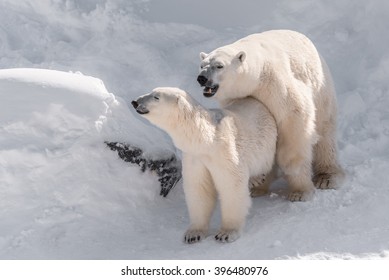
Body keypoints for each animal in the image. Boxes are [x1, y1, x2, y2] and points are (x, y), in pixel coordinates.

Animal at [132, 87, 278, 243]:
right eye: (151, 92)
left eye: (156, 97)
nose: (135, 102)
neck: (207, 140)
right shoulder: (195, 158)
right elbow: (199, 189)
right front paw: (193, 234)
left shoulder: (224, 153)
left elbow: (231, 186)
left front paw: (226, 233)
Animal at [197, 29, 342, 201]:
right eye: (201, 65)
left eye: (219, 66)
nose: (202, 78)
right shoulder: (237, 97)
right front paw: (256, 179)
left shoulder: (275, 83)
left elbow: (294, 116)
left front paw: (300, 191)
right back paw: (259, 187)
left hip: (321, 89)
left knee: (325, 133)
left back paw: (326, 177)